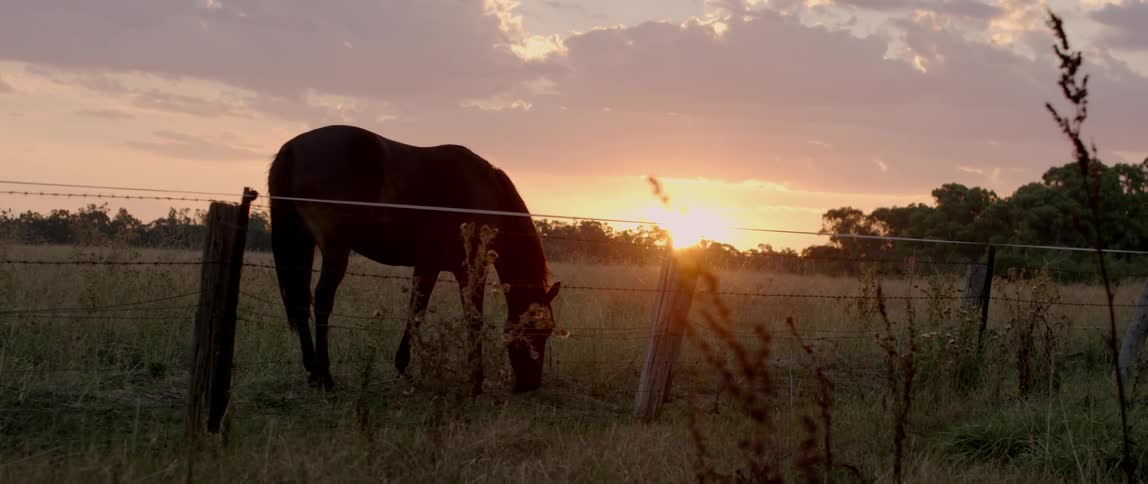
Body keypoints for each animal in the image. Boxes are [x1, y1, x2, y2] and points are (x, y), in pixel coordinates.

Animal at [267, 124, 561, 394]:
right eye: (539, 331)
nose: (529, 385)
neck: (489, 194)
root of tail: (294, 147)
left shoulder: (428, 266)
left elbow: (415, 313)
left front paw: (403, 367)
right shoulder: (470, 271)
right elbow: (473, 318)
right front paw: (475, 381)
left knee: (300, 302)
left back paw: (312, 373)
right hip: (335, 251)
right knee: (322, 301)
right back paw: (325, 378)